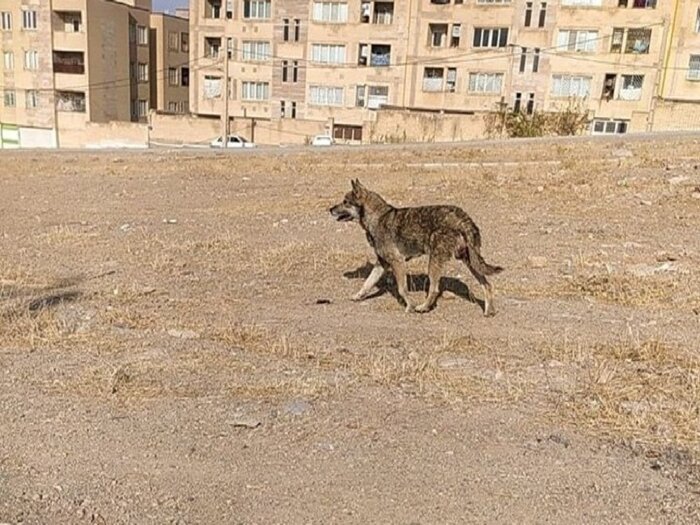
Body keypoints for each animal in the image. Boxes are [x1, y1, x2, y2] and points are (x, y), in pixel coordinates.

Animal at [330, 178, 504, 314]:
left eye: (345, 202)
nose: (330, 209)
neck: (378, 217)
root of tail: (462, 217)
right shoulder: (382, 264)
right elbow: (367, 283)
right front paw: (357, 296)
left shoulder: (398, 262)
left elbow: (402, 289)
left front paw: (410, 307)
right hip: (470, 261)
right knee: (487, 284)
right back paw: (489, 311)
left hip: (435, 262)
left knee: (434, 289)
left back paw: (423, 307)